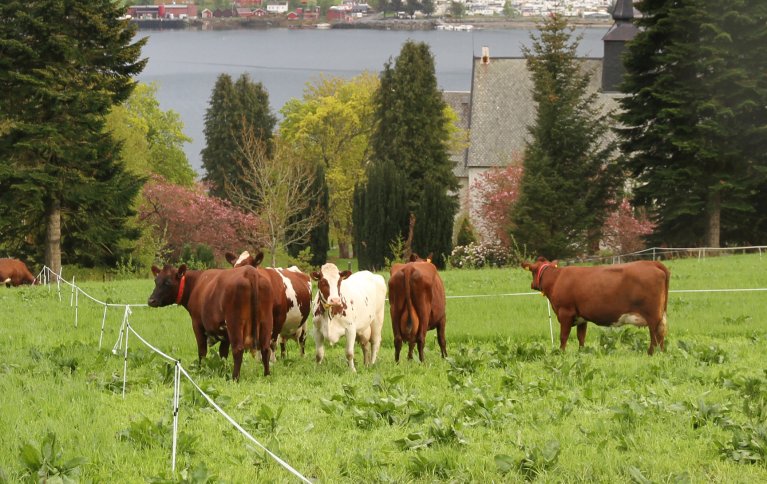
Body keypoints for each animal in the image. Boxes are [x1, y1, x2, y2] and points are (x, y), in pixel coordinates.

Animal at [146, 262, 274, 380]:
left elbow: (202, 351)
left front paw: (201, 370)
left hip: (235, 322)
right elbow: (223, 353)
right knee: (265, 348)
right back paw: (267, 375)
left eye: (167, 282)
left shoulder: (197, 323)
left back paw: (234, 378)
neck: (196, 283)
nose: (151, 300)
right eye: (156, 281)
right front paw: (223, 371)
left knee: (238, 349)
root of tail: (250, 271)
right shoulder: (224, 333)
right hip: (266, 320)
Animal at [520, 258, 672, 356]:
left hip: (652, 315)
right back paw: (661, 353)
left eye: (532, 271)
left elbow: (563, 336)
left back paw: (652, 353)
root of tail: (652, 263)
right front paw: (581, 352)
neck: (556, 278)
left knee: (655, 334)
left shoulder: (565, 313)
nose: (532, 284)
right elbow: (581, 337)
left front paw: (561, 353)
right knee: (661, 333)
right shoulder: (581, 317)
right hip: (660, 314)